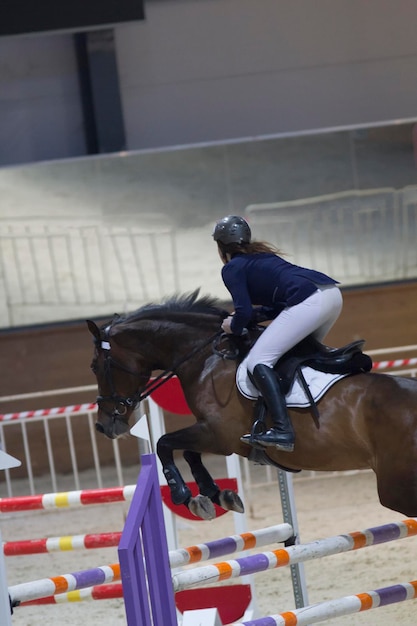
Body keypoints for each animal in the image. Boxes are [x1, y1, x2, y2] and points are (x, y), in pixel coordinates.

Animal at [86, 290, 416, 520]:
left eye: (95, 366)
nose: (103, 425)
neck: (205, 357)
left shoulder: (220, 434)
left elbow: (164, 443)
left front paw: (186, 496)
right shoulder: (218, 437)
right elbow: (189, 453)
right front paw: (216, 495)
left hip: (395, 489)